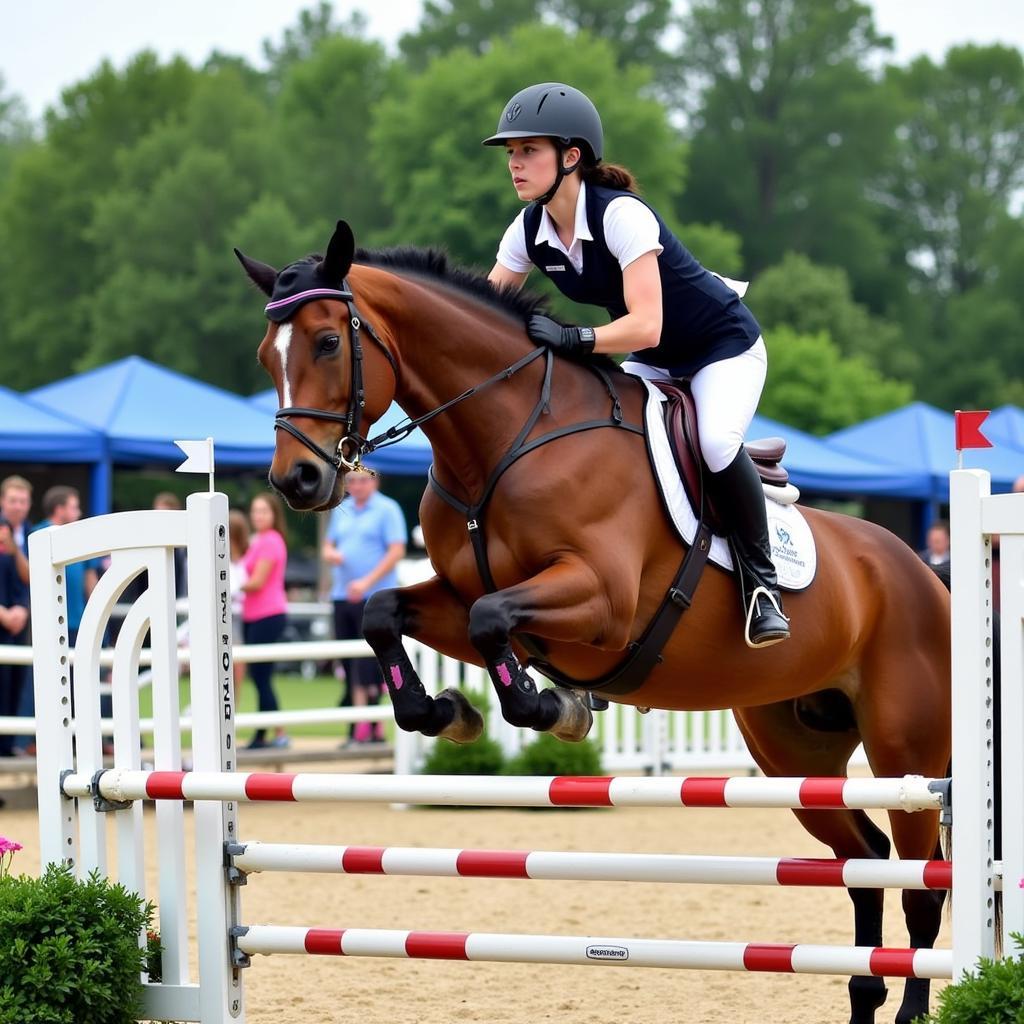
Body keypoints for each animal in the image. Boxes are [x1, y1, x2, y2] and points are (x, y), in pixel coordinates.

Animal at [237, 220, 950, 1019]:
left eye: (329, 342)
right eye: (266, 355)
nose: (296, 482)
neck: (503, 438)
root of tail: (922, 573)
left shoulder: (600, 601)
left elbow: (491, 622)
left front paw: (556, 708)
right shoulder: (458, 596)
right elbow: (387, 611)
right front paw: (451, 713)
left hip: (907, 751)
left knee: (921, 878)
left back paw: (912, 1004)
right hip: (793, 755)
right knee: (866, 858)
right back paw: (864, 993)